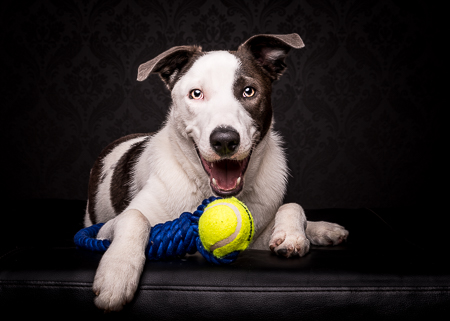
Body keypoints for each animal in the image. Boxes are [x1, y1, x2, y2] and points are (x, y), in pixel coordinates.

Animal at [86, 33, 350, 310]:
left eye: (248, 91)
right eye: (196, 94)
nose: (224, 140)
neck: (206, 191)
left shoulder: (255, 240)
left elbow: (292, 205)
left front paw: (291, 235)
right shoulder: (103, 230)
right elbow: (135, 217)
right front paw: (116, 273)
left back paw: (325, 229)